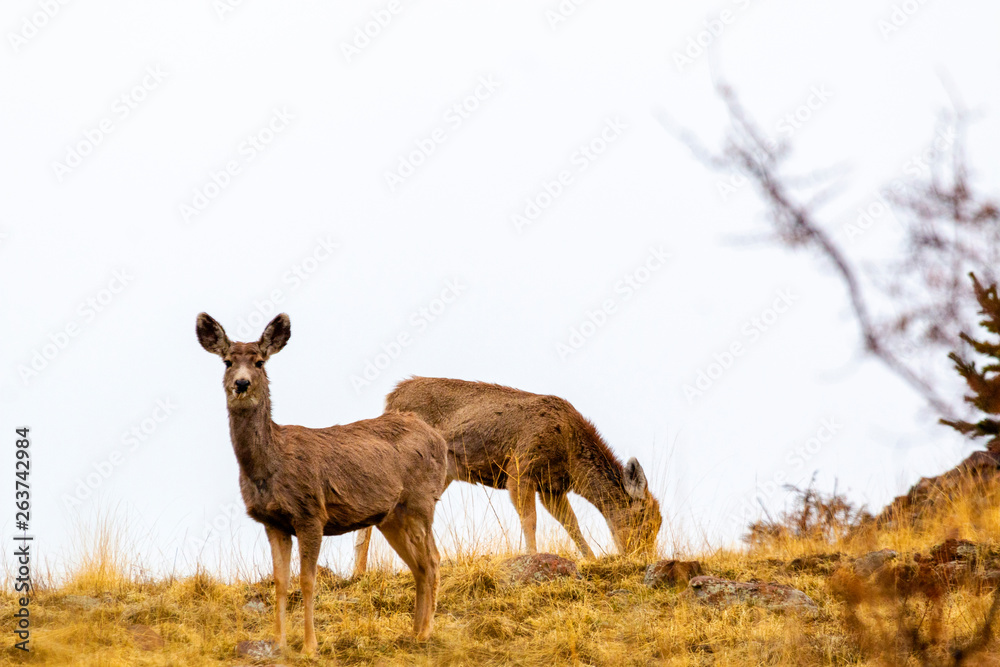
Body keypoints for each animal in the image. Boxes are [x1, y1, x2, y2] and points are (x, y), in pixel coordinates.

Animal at [195, 313, 447, 655]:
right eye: (227, 362)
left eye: (260, 362)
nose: (242, 383)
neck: (269, 465)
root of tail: (439, 440)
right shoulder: (273, 522)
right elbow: (280, 582)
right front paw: (279, 642)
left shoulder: (311, 513)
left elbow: (307, 581)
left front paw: (309, 646)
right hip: (391, 516)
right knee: (418, 565)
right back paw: (414, 632)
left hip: (421, 501)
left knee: (433, 560)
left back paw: (426, 633)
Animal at [353, 377, 661, 576]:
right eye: (643, 518)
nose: (644, 556)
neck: (570, 454)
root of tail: (390, 400)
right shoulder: (520, 467)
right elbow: (530, 519)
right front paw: (533, 557)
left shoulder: (551, 488)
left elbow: (570, 523)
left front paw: (591, 558)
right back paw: (359, 571)